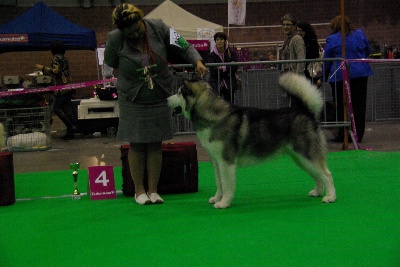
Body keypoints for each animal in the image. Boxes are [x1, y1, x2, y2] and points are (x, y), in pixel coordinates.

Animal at [167, 73, 336, 209]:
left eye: (178, 92)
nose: (166, 99)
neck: (212, 115)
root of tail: (306, 112)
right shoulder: (215, 160)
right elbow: (219, 182)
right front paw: (217, 198)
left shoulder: (226, 161)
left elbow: (227, 185)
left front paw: (224, 203)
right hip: (300, 158)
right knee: (317, 175)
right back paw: (318, 192)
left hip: (306, 155)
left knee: (326, 174)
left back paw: (330, 197)